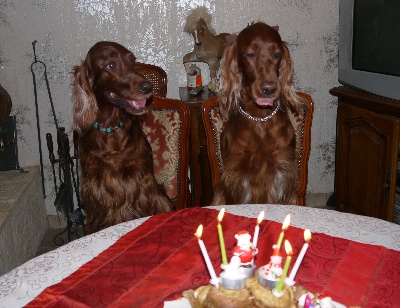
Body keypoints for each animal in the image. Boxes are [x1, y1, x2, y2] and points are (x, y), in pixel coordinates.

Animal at [72, 41, 171, 233]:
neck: (110, 129)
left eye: (132, 60)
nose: (147, 87)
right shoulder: (94, 190)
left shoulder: (143, 183)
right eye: (111, 65)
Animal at [212, 22, 304, 206]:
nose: (269, 89)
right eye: (250, 54)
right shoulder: (234, 176)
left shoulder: (284, 172)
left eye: (277, 54)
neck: (260, 119)